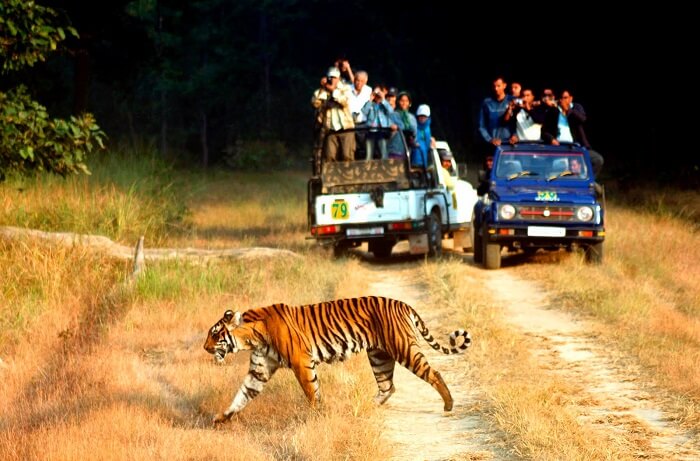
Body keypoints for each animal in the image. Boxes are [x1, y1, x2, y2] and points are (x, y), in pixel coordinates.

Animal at [205, 296, 474, 422]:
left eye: (215, 334)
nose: (205, 347)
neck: (252, 338)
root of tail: (404, 304)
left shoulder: (301, 362)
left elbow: (312, 392)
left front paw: (317, 415)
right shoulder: (259, 371)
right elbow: (242, 395)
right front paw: (221, 418)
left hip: (404, 349)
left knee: (434, 373)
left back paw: (449, 404)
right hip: (379, 356)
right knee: (388, 386)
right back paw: (362, 408)